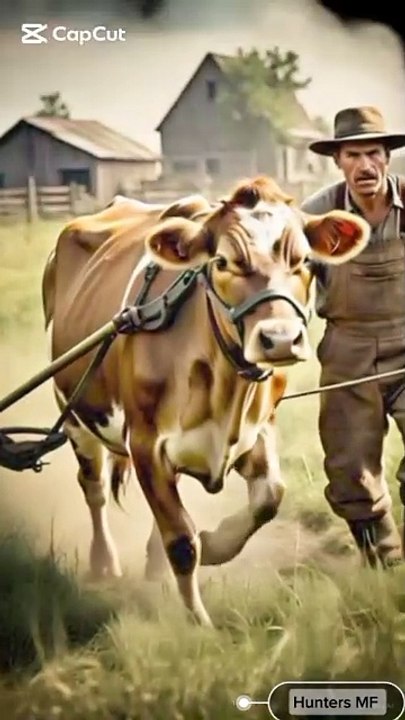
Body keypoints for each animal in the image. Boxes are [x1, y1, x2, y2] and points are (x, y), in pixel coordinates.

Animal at [42, 175, 369, 626]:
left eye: (304, 260)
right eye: (223, 262)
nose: (281, 339)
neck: (225, 387)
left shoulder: (259, 428)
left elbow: (269, 498)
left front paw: (214, 544)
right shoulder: (144, 444)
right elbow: (181, 541)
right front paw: (199, 624)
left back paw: (152, 565)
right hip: (74, 413)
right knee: (94, 487)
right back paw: (104, 563)